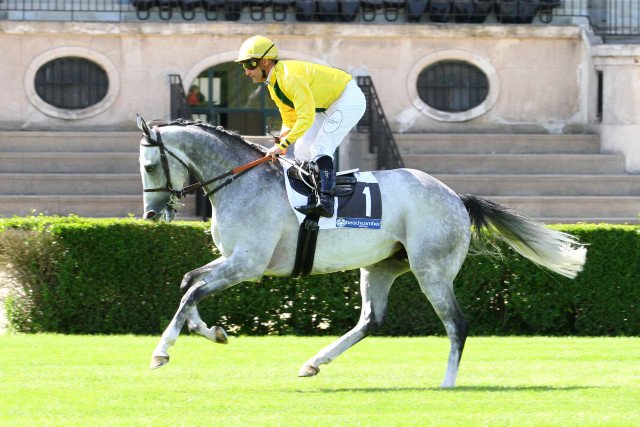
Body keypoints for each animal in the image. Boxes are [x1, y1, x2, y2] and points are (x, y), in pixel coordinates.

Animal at [136, 115, 586, 388]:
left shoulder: (248, 263)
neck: (243, 183)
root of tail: (456, 197)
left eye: (149, 166)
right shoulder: (234, 260)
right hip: (381, 267)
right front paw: (211, 331)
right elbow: (189, 283)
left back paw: (447, 382)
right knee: (371, 320)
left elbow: (193, 291)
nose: (151, 213)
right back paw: (314, 362)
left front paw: (161, 352)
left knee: (457, 323)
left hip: (432, 270)